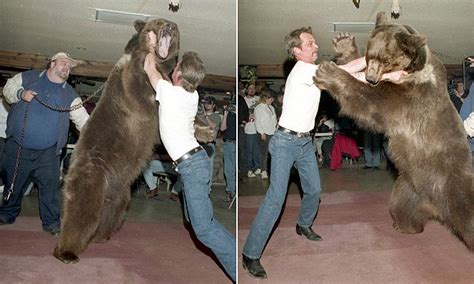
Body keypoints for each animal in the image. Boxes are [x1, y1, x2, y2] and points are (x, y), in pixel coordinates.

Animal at [53, 18, 180, 264]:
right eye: (158, 22)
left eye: (174, 26)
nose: (169, 25)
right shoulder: (134, 83)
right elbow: (147, 93)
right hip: (92, 174)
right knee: (82, 210)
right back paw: (66, 252)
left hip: (120, 188)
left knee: (111, 211)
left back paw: (101, 236)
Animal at [314, 11, 474, 251]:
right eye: (370, 57)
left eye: (386, 60)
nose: (371, 78)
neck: (412, 70)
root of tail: (436, 207)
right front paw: (344, 44)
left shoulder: (411, 96)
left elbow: (372, 100)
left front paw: (329, 72)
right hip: (408, 186)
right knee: (402, 206)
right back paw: (404, 225)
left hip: (453, 182)